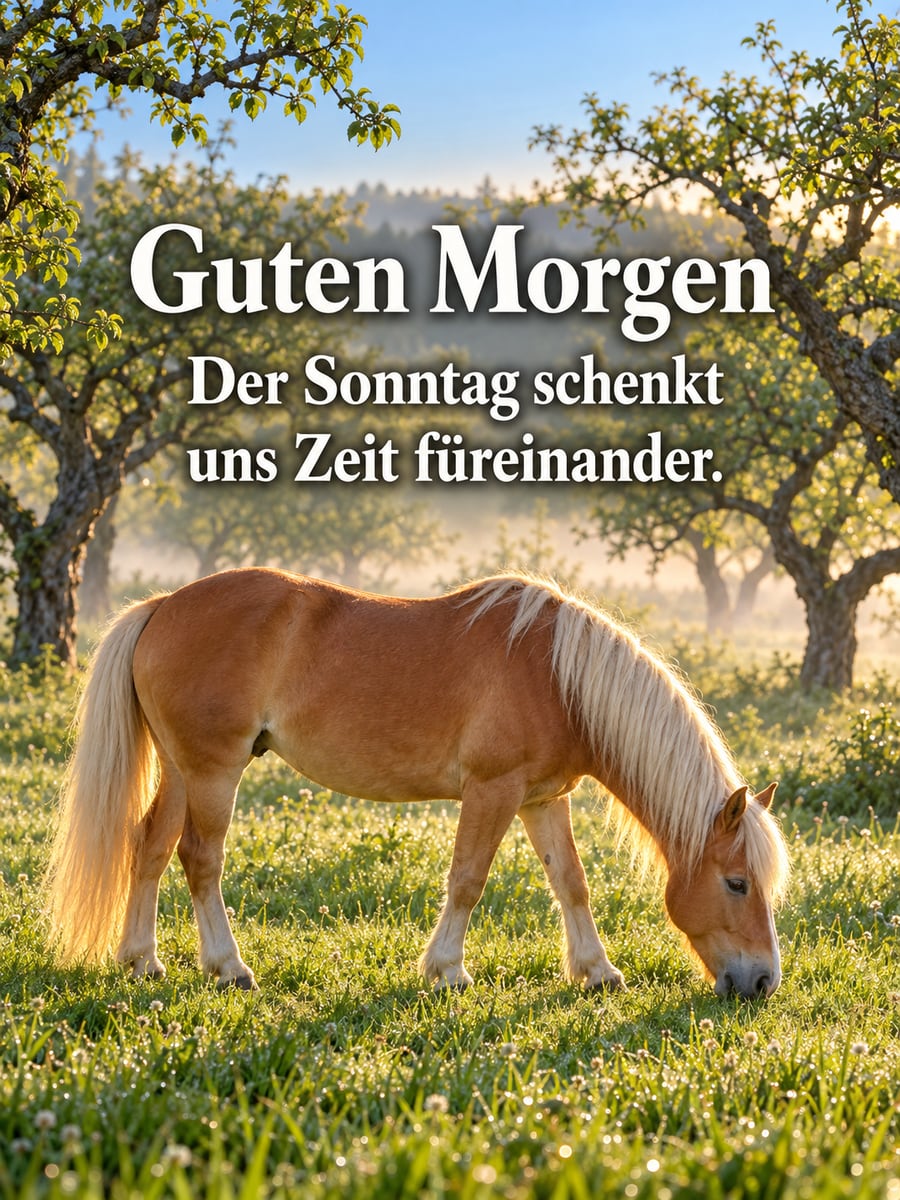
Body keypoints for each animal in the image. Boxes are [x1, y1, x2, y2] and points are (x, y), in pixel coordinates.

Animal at [45, 568, 790, 998]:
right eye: (736, 883)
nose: (762, 981)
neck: (557, 675)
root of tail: (164, 605)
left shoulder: (542, 799)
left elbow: (570, 883)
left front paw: (597, 972)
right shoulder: (492, 792)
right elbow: (467, 880)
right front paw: (447, 970)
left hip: (180, 770)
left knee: (149, 848)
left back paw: (142, 960)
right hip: (214, 771)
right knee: (201, 860)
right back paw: (228, 967)